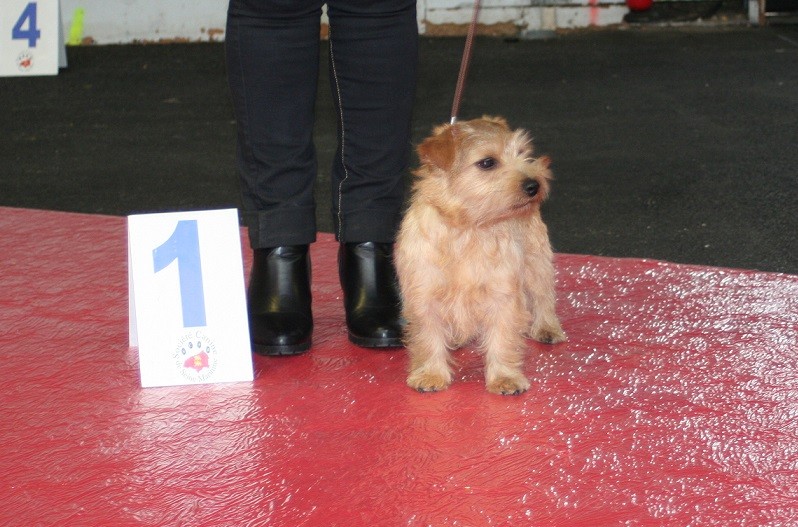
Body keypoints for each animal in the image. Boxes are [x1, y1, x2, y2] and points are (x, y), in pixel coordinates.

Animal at [396, 116, 564, 396]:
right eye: (487, 162)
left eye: (521, 152)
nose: (534, 185)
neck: (468, 228)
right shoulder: (424, 295)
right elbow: (428, 336)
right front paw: (431, 373)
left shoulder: (502, 294)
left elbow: (502, 337)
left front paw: (505, 377)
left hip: (536, 263)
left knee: (543, 297)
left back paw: (548, 328)